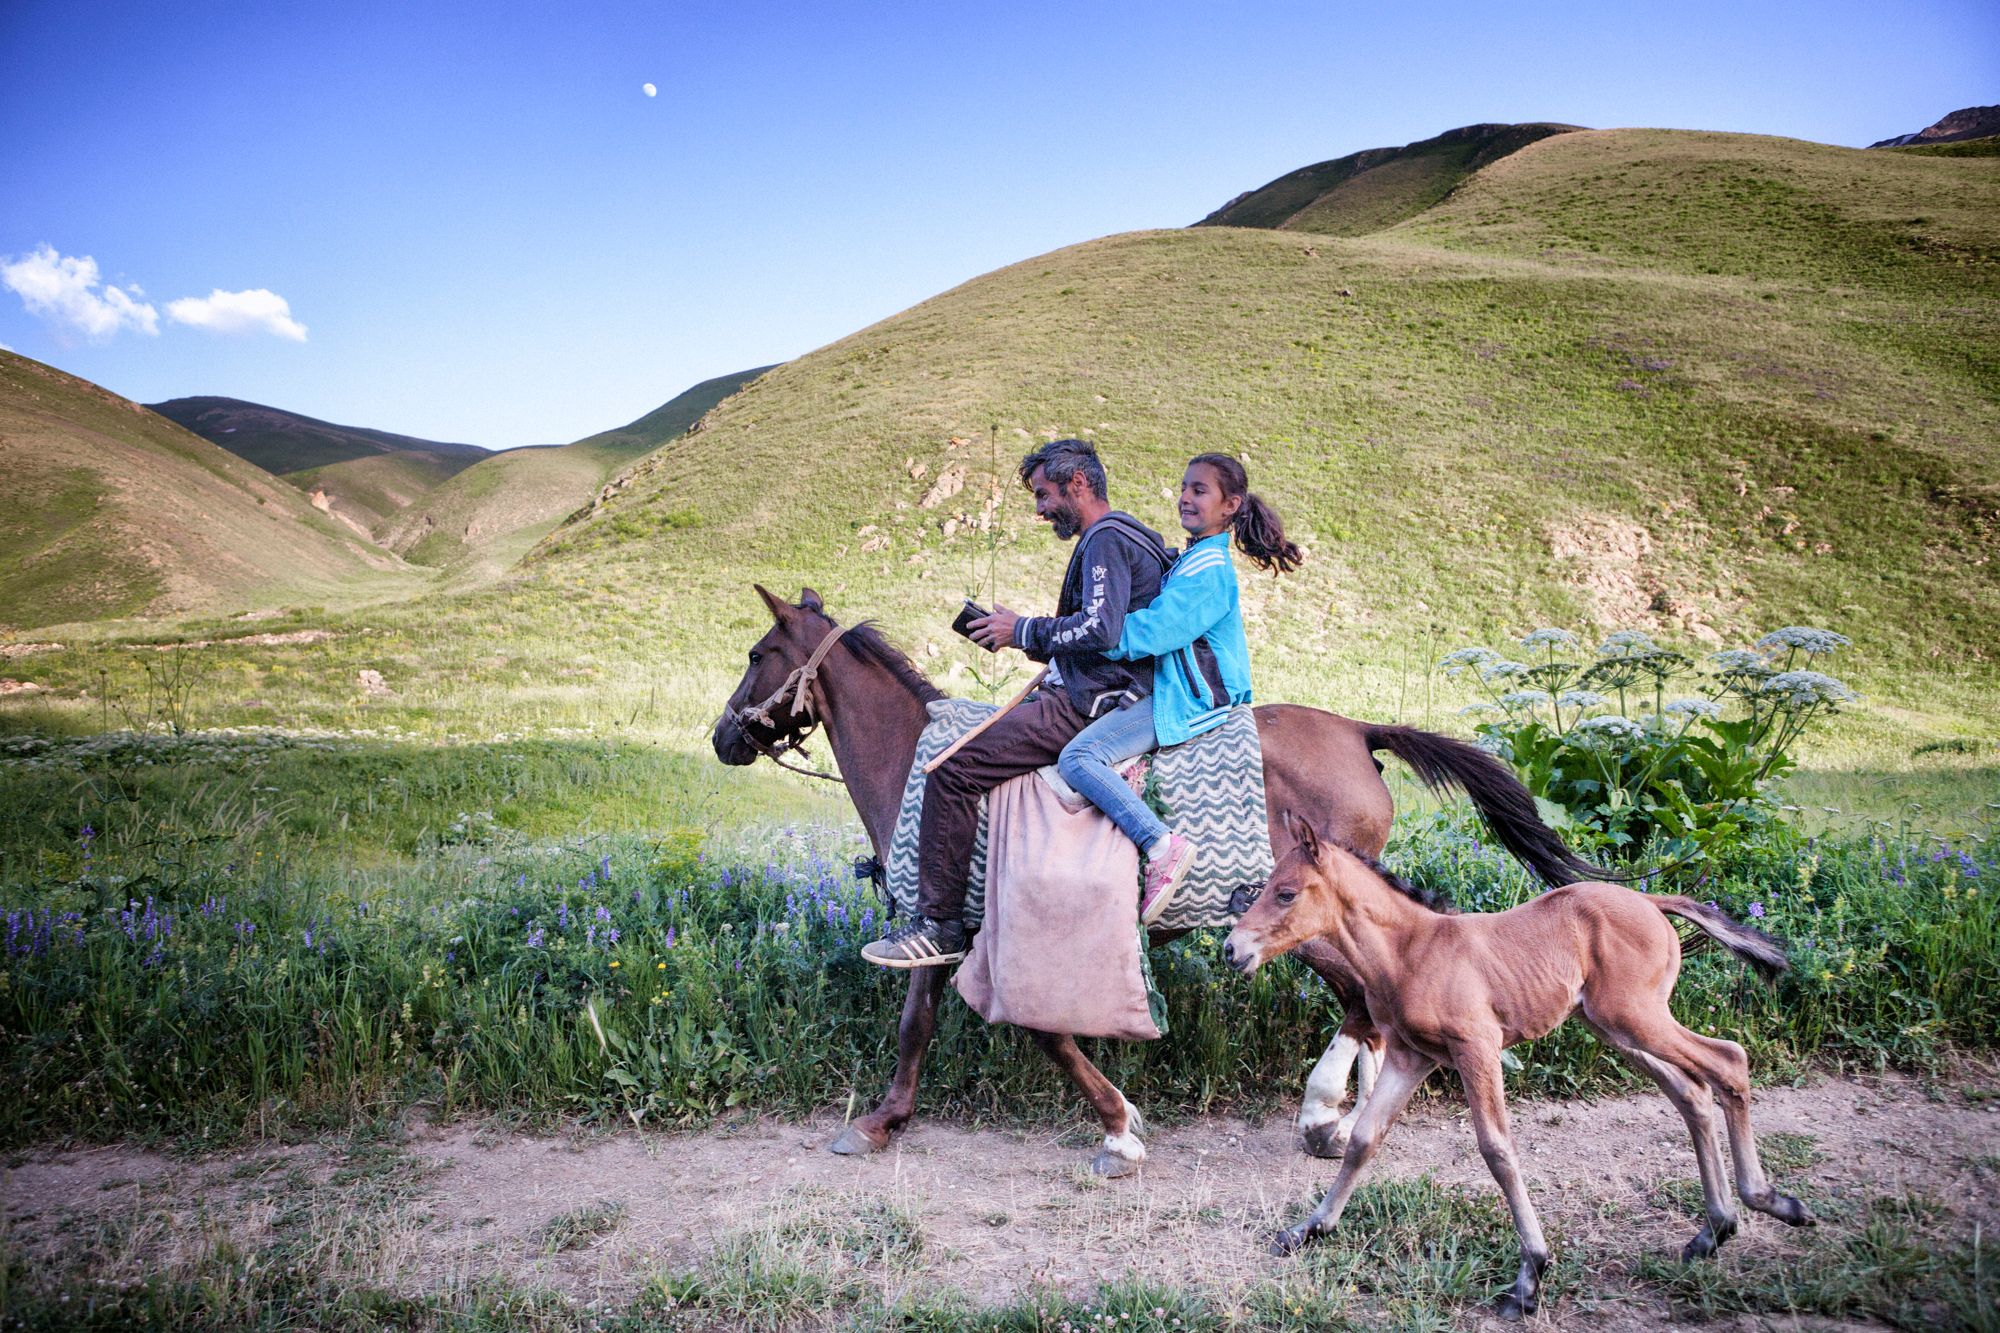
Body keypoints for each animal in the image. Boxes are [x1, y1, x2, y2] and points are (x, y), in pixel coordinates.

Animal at [712, 588, 1600, 1168]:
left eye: (757, 654)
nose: (723, 736)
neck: (924, 767)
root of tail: (1357, 730)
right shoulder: (944, 926)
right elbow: (915, 1025)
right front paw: (882, 1120)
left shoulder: (1013, 932)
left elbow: (1044, 1032)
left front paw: (1119, 1124)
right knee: (1374, 1010)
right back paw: (1352, 1114)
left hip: (1305, 920)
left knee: (1360, 1002)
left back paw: (1323, 1112)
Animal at [1216, 816, 1816, 1312]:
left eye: (1286, 893)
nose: (1231, 950)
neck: (1411, 950)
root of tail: (1653, 902)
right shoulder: (1412, 1056)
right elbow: (1364, 1139)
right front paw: (1307, 1230)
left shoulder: (1477, 1048)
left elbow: (1496, 1149)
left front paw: (1531, 1274)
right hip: (1615, 1027)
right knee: (1692, 1091)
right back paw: (1714, 1230)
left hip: (1637, 1017)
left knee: (1729, 1060)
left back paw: (1767, 1202)